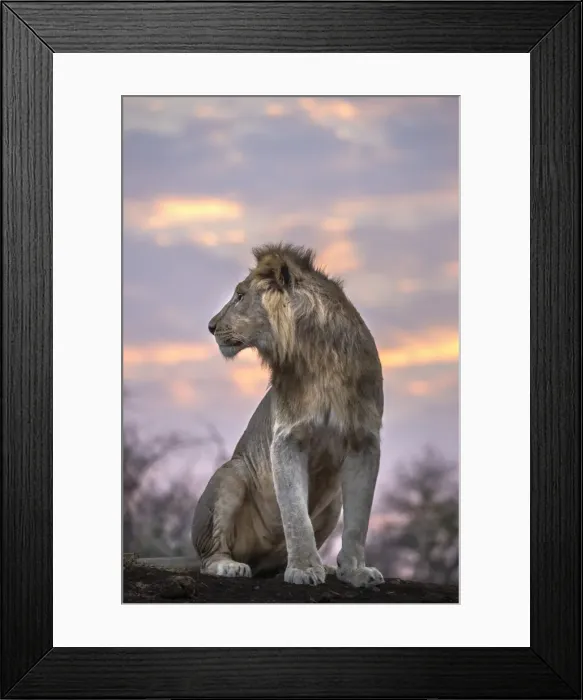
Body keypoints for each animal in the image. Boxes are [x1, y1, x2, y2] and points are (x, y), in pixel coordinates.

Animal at [139, 243, 384, 587]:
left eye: (241, 296)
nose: (211, 326)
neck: (322, 357)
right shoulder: (286, 440)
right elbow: (295, 514)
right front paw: (305, 569)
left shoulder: (365, 441)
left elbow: (358, 521)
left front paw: (356, 570)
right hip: (232, 473)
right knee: (211, 557)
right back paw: (230, 566)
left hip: (332, 502)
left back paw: (319, 567)